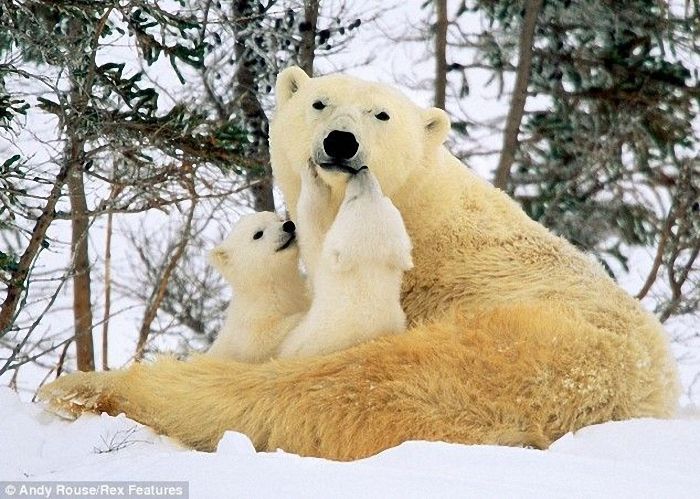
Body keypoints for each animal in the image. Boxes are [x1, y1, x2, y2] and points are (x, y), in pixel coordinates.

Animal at [39, 66, 680, 460]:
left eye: (381, 115)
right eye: (318, 101)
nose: (340, 142)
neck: (424, 206)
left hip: (521, 354)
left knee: (338, 391)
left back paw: (86, 389)